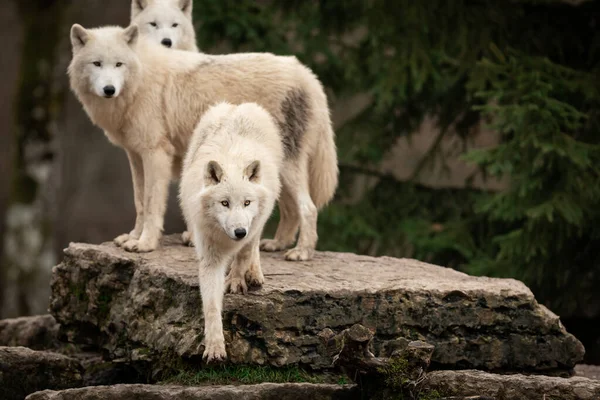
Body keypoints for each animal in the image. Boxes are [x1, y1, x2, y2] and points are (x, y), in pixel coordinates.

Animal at [67, 22, 338, 260]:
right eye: (97, 64)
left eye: (118, 64)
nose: (109, 89)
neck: (141, 78)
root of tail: (307, 74)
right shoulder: (135, 155)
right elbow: (140, 201)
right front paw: (133, 237)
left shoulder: (156, 154)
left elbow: (152, 203)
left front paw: (145, 244)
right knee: (291, 209)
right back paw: (277, 244)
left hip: (285, 168)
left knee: (308, 208)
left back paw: (301, 253)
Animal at [178, 101, 284, 360]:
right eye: (224, 203)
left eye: (246, 202)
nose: (239, 232)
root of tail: (237, 105)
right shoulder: (210, 256)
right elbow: (211, 304)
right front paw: (215, 346)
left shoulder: (253, 226)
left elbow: (244, 254)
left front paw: (237, 280)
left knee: (253, 248)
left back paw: (254, 273)